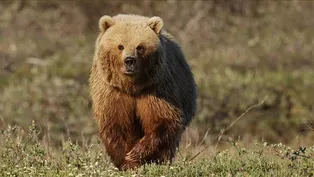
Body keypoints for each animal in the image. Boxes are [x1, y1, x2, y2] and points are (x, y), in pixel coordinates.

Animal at [89, 14, 196, 170]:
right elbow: (117, 125)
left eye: (139, 47)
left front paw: (136, 153)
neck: (132, 86)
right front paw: (126, 161)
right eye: (120, 46)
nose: (129, 61)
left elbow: (162, 120)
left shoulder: (156, 89)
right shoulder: (113, 93)